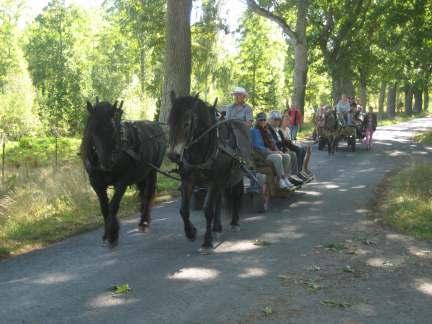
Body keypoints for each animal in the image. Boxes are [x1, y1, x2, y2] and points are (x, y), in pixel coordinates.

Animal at [81, 98, 167, 246]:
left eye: (113, 130)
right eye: (93, 131)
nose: (107, 162)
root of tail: (155, 126)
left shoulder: (122, 182)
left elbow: (113, 206)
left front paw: (113, 234)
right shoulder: (97, 184)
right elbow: (104, 208)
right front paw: (107, 234)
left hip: (151, 171)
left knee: (148, 194)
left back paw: (144, 222)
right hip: (141, 175)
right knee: (143, 194)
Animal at [166, 93, 253, 253]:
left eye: (187, 123)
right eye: (169, 121)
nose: (173, 155)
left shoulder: (214, 180)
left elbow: (207, 210)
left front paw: (207, 242)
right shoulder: (188, 180)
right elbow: (184, 210)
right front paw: (191, 232)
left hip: (236, 175)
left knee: (237, 194)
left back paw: (234, 222)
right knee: (218, 200)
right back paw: (217, 227)